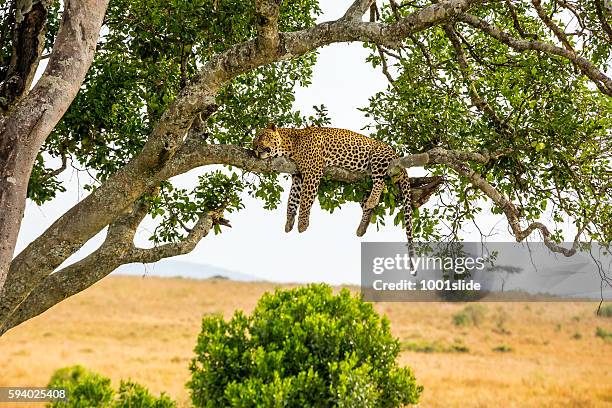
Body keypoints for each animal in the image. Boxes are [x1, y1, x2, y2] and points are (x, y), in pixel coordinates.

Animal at [250, 123, 416, 245]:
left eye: (261, 136)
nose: (254, 148)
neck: (290, 146)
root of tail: (395, 153)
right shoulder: (298, 176)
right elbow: (292, 200)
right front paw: (289, 221)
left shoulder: (313, 171)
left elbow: (305, 200)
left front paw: (302, 224)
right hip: (361, 185)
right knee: (368, 207)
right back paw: (363, 225)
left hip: (378, 156)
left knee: (380, 182)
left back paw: (372, 200)